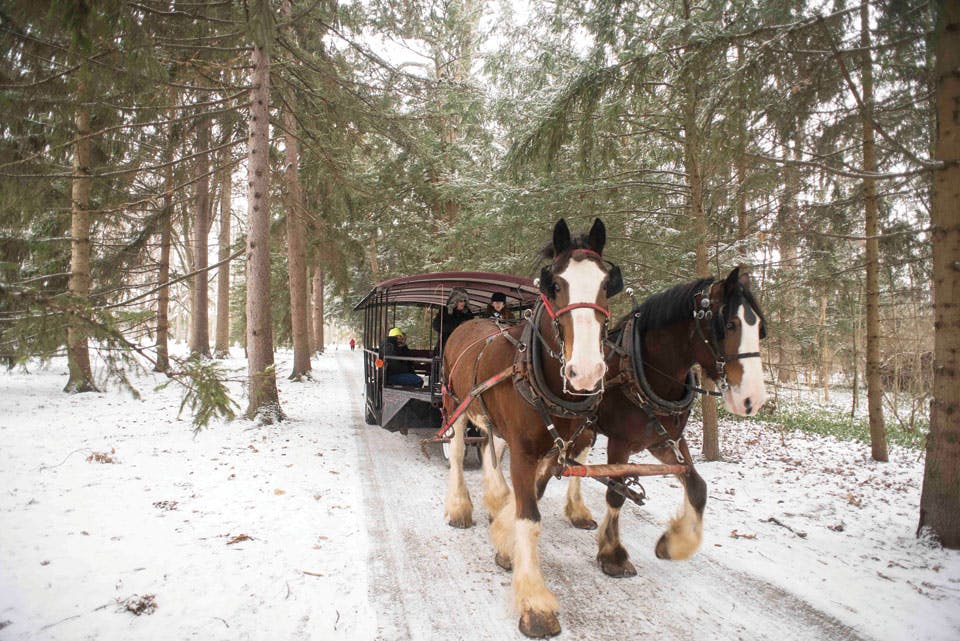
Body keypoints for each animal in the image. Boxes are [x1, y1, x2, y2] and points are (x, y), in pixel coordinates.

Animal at [440, 219, 624, 636]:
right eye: (553, 284)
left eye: (608, 284)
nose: (586, 372)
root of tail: (470, 322)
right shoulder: (525, 452)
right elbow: (530, 517)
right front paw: (535, 602)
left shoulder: (556, 449)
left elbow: (532, 498)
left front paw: (504, 539)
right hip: (455, 404)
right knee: (458, 451)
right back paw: (460, 506)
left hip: (490, 417)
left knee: (490, 449)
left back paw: (495, 500)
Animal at [564, 264, 772, 576]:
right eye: (730, 325)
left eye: (760, 329)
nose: (752, 399)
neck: (643, 370)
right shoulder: (620, 442)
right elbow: (617, 492)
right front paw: (613, 555)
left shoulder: (665, 440)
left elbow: (698, 487)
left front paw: (675, 544)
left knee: (577, 456)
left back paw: (577, 512)